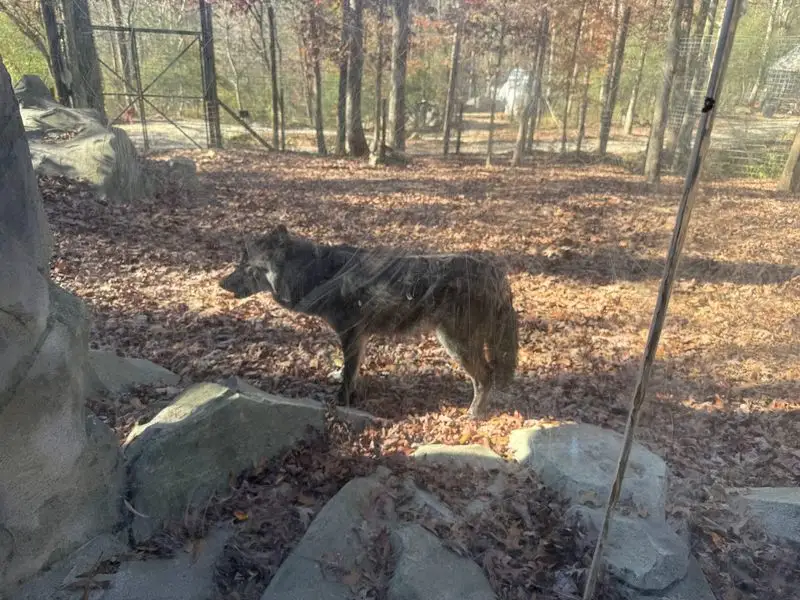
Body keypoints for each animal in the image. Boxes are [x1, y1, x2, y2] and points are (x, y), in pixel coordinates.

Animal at [219, 225, 518, 419]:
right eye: (239, 263)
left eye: (247, 267)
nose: (220, 283)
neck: (318, 275)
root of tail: (497, 273)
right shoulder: (359, 339)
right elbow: (353, 373)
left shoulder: (350, 335)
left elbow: (347, 376)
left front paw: (341, 404)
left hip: (455, 344)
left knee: (486, 376)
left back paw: (474, 415)